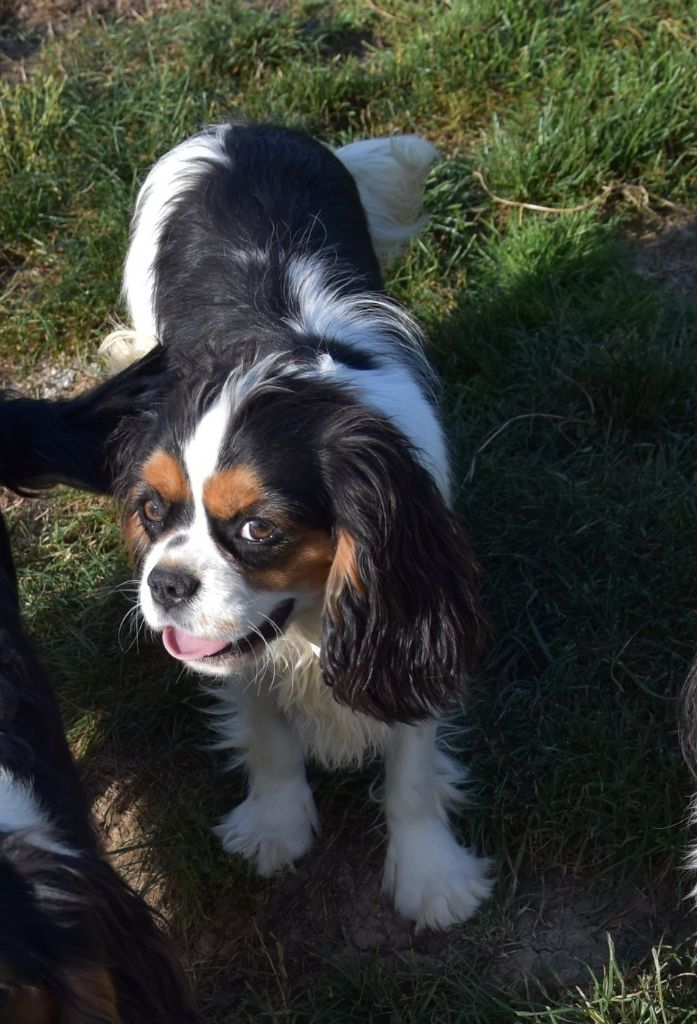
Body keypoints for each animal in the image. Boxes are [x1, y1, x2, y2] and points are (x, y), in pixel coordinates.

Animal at [1, 123, 493, 929]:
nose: (165, 585)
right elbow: (266, 734)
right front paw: (274, 826)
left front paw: (431, 877)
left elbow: (412, 766)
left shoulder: (408, 601)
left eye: (259, 530)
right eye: (151, 510)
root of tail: (242, 127)